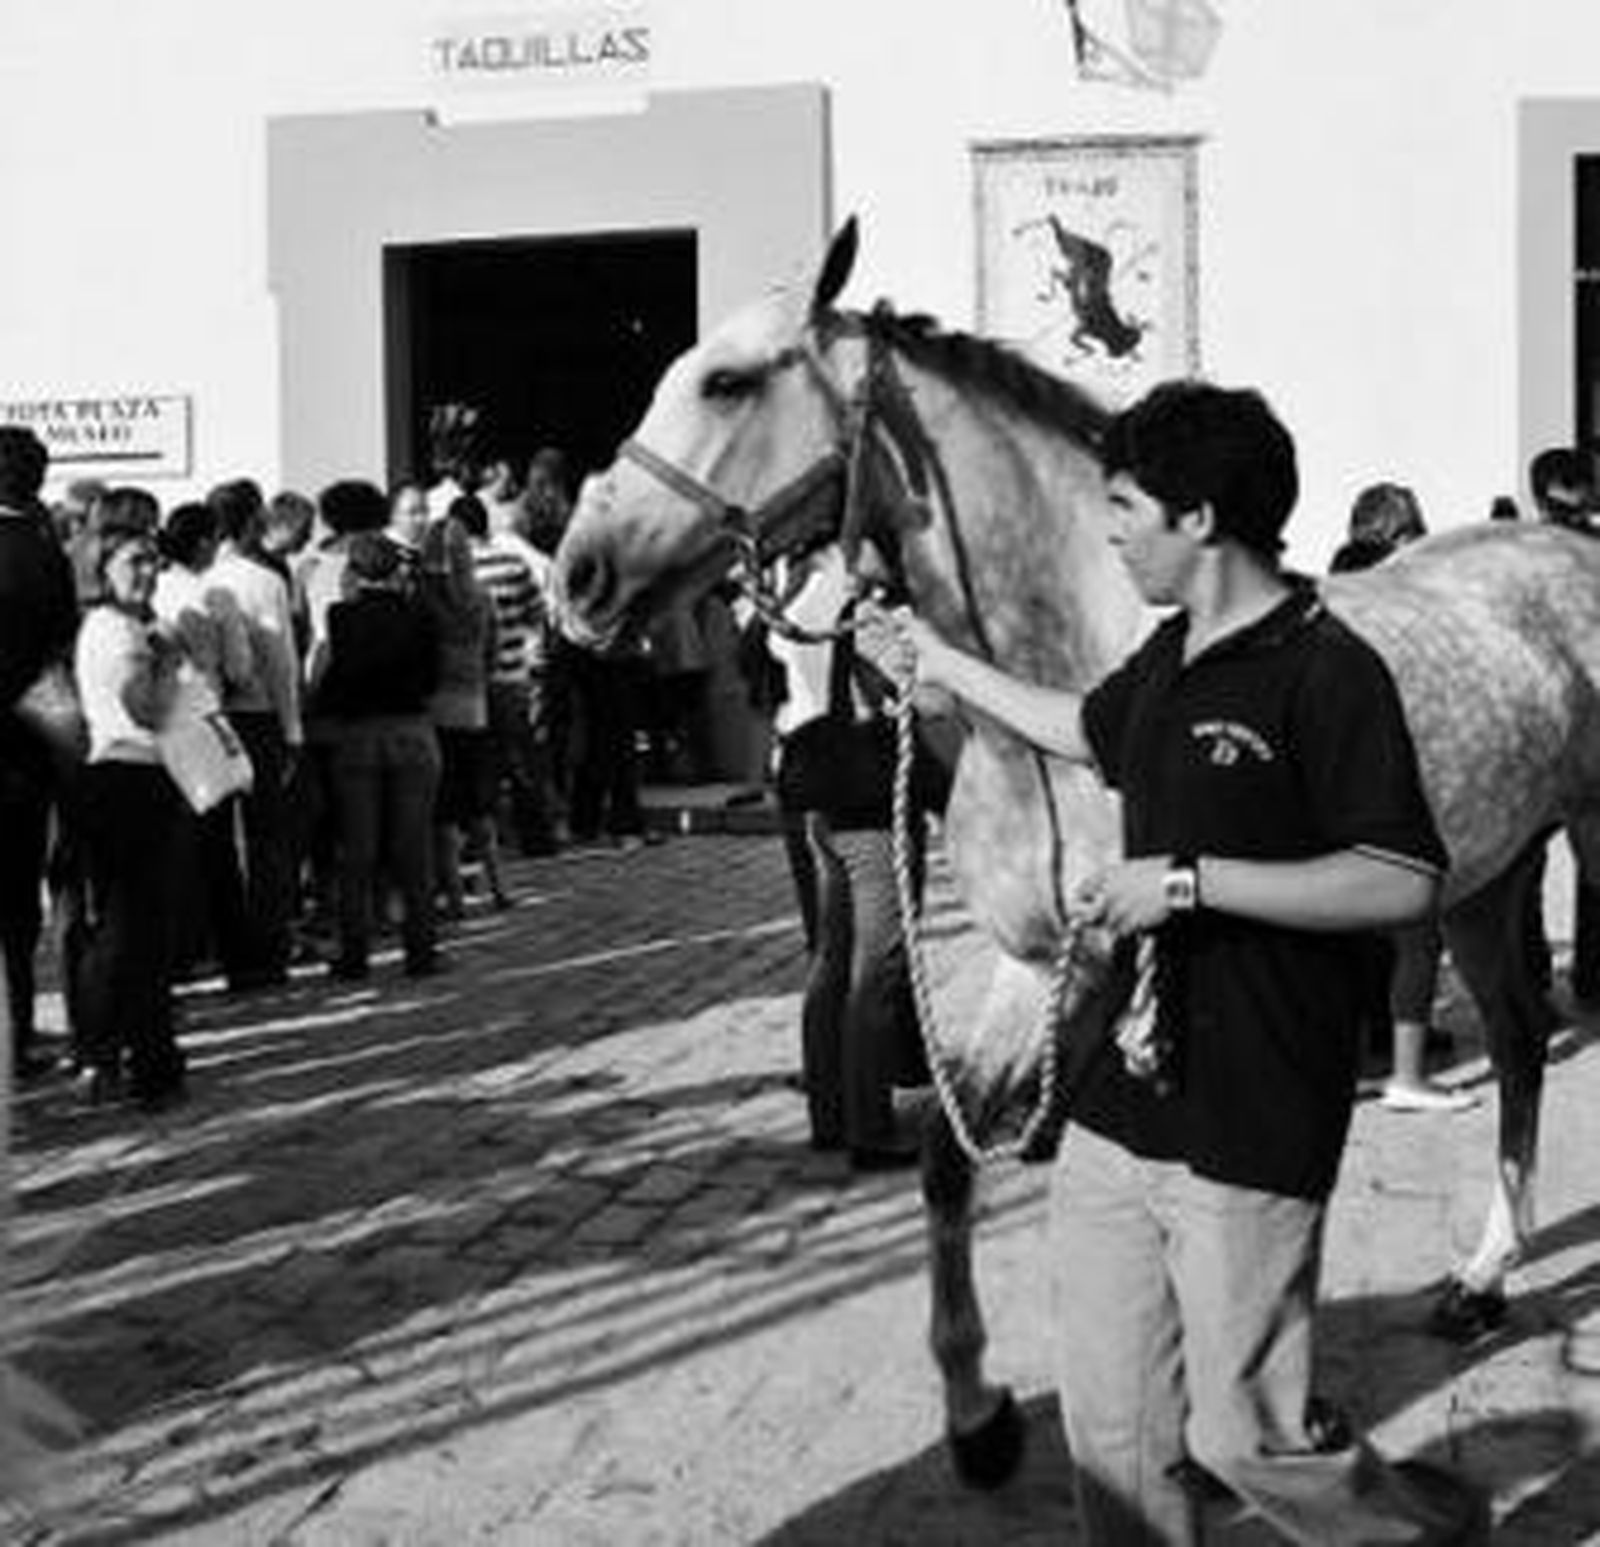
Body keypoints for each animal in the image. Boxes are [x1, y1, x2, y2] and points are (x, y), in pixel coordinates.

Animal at [550, 218, 1600, 1484]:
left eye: (726, 380)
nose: (579, 575)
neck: (1075, 670)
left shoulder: (1119, 962)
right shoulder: (1036, 959)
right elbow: (951, 1155)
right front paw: (978, 1412)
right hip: (1488, 878)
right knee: (1521, 1038)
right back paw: (1482, 1278)